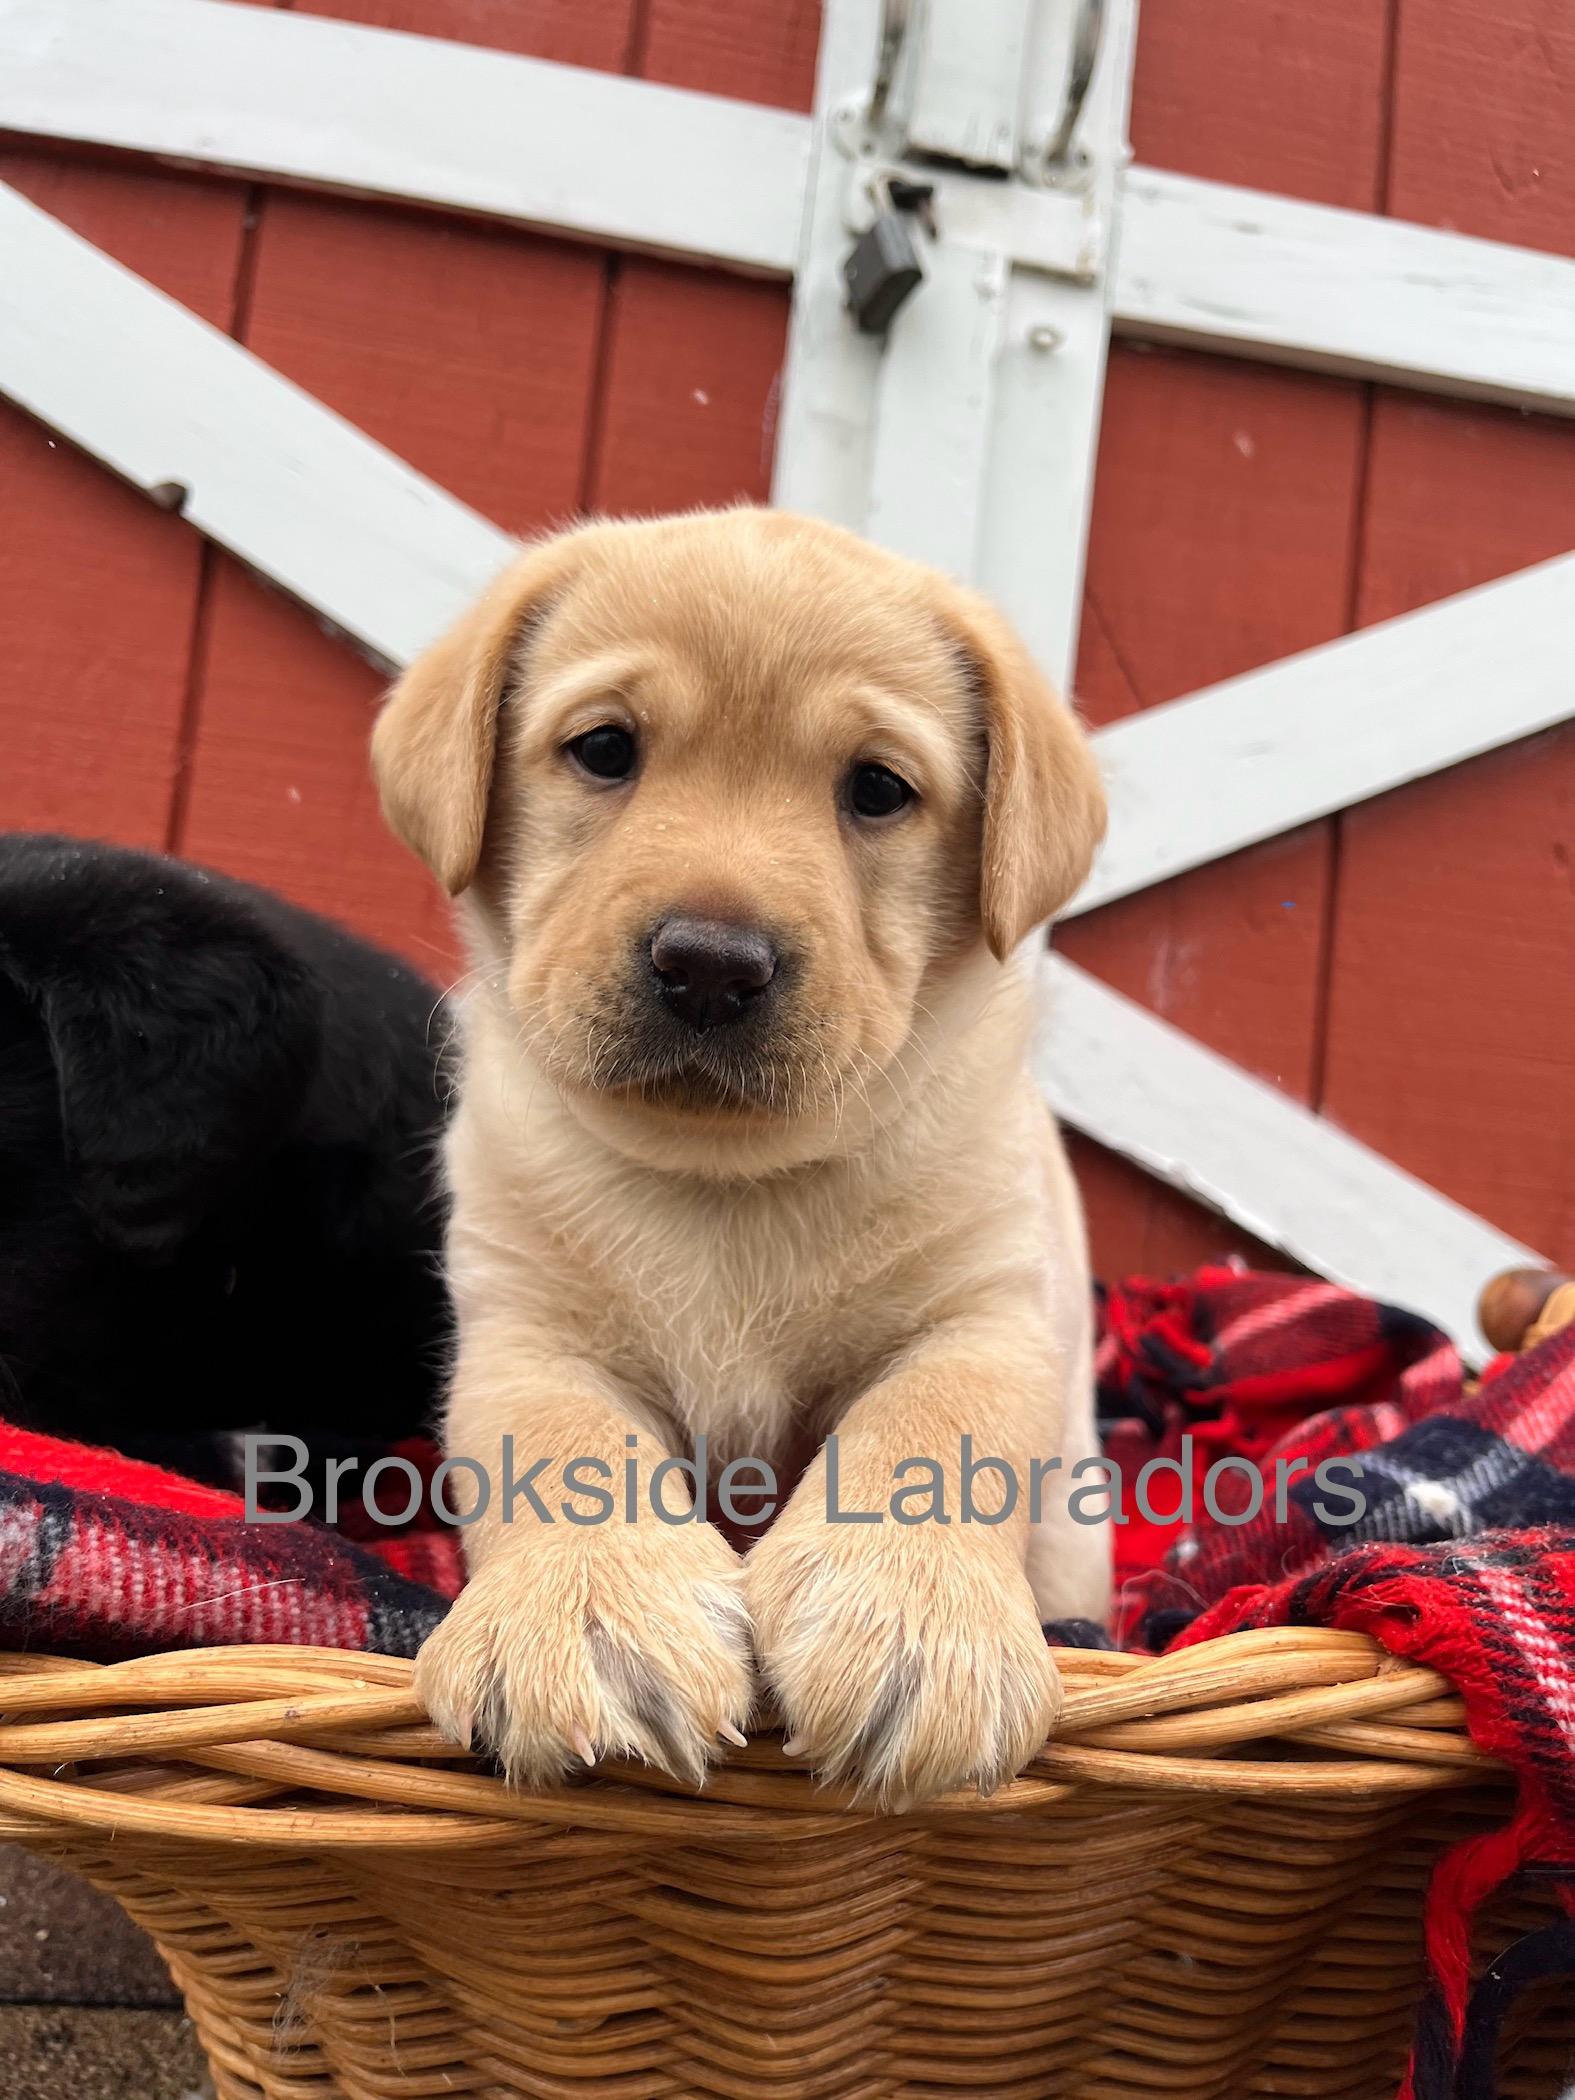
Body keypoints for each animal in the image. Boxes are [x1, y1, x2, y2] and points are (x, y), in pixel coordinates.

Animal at [373, 508, 1109, 1807]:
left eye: (877, 789)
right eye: (605, 750)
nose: (712, 964)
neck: (725, 1183)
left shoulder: (990, 1313)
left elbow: (934, 1426)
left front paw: (911, 1622)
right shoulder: (521, 1329)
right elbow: (559, 1442)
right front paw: (585, 1612)